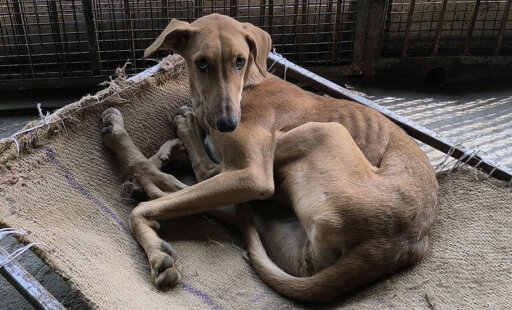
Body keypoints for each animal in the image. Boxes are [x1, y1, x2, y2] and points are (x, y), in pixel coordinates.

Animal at [102, 13, 438, 300]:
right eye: (202, 63)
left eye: (240, 60)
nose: (228, 123)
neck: (250, 83)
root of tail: (393, 246)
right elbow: (178, 148)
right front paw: (169, 149)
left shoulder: (252, 175)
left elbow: (191, 163)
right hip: (279, 226)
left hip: (315, 134)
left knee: (184, 181)